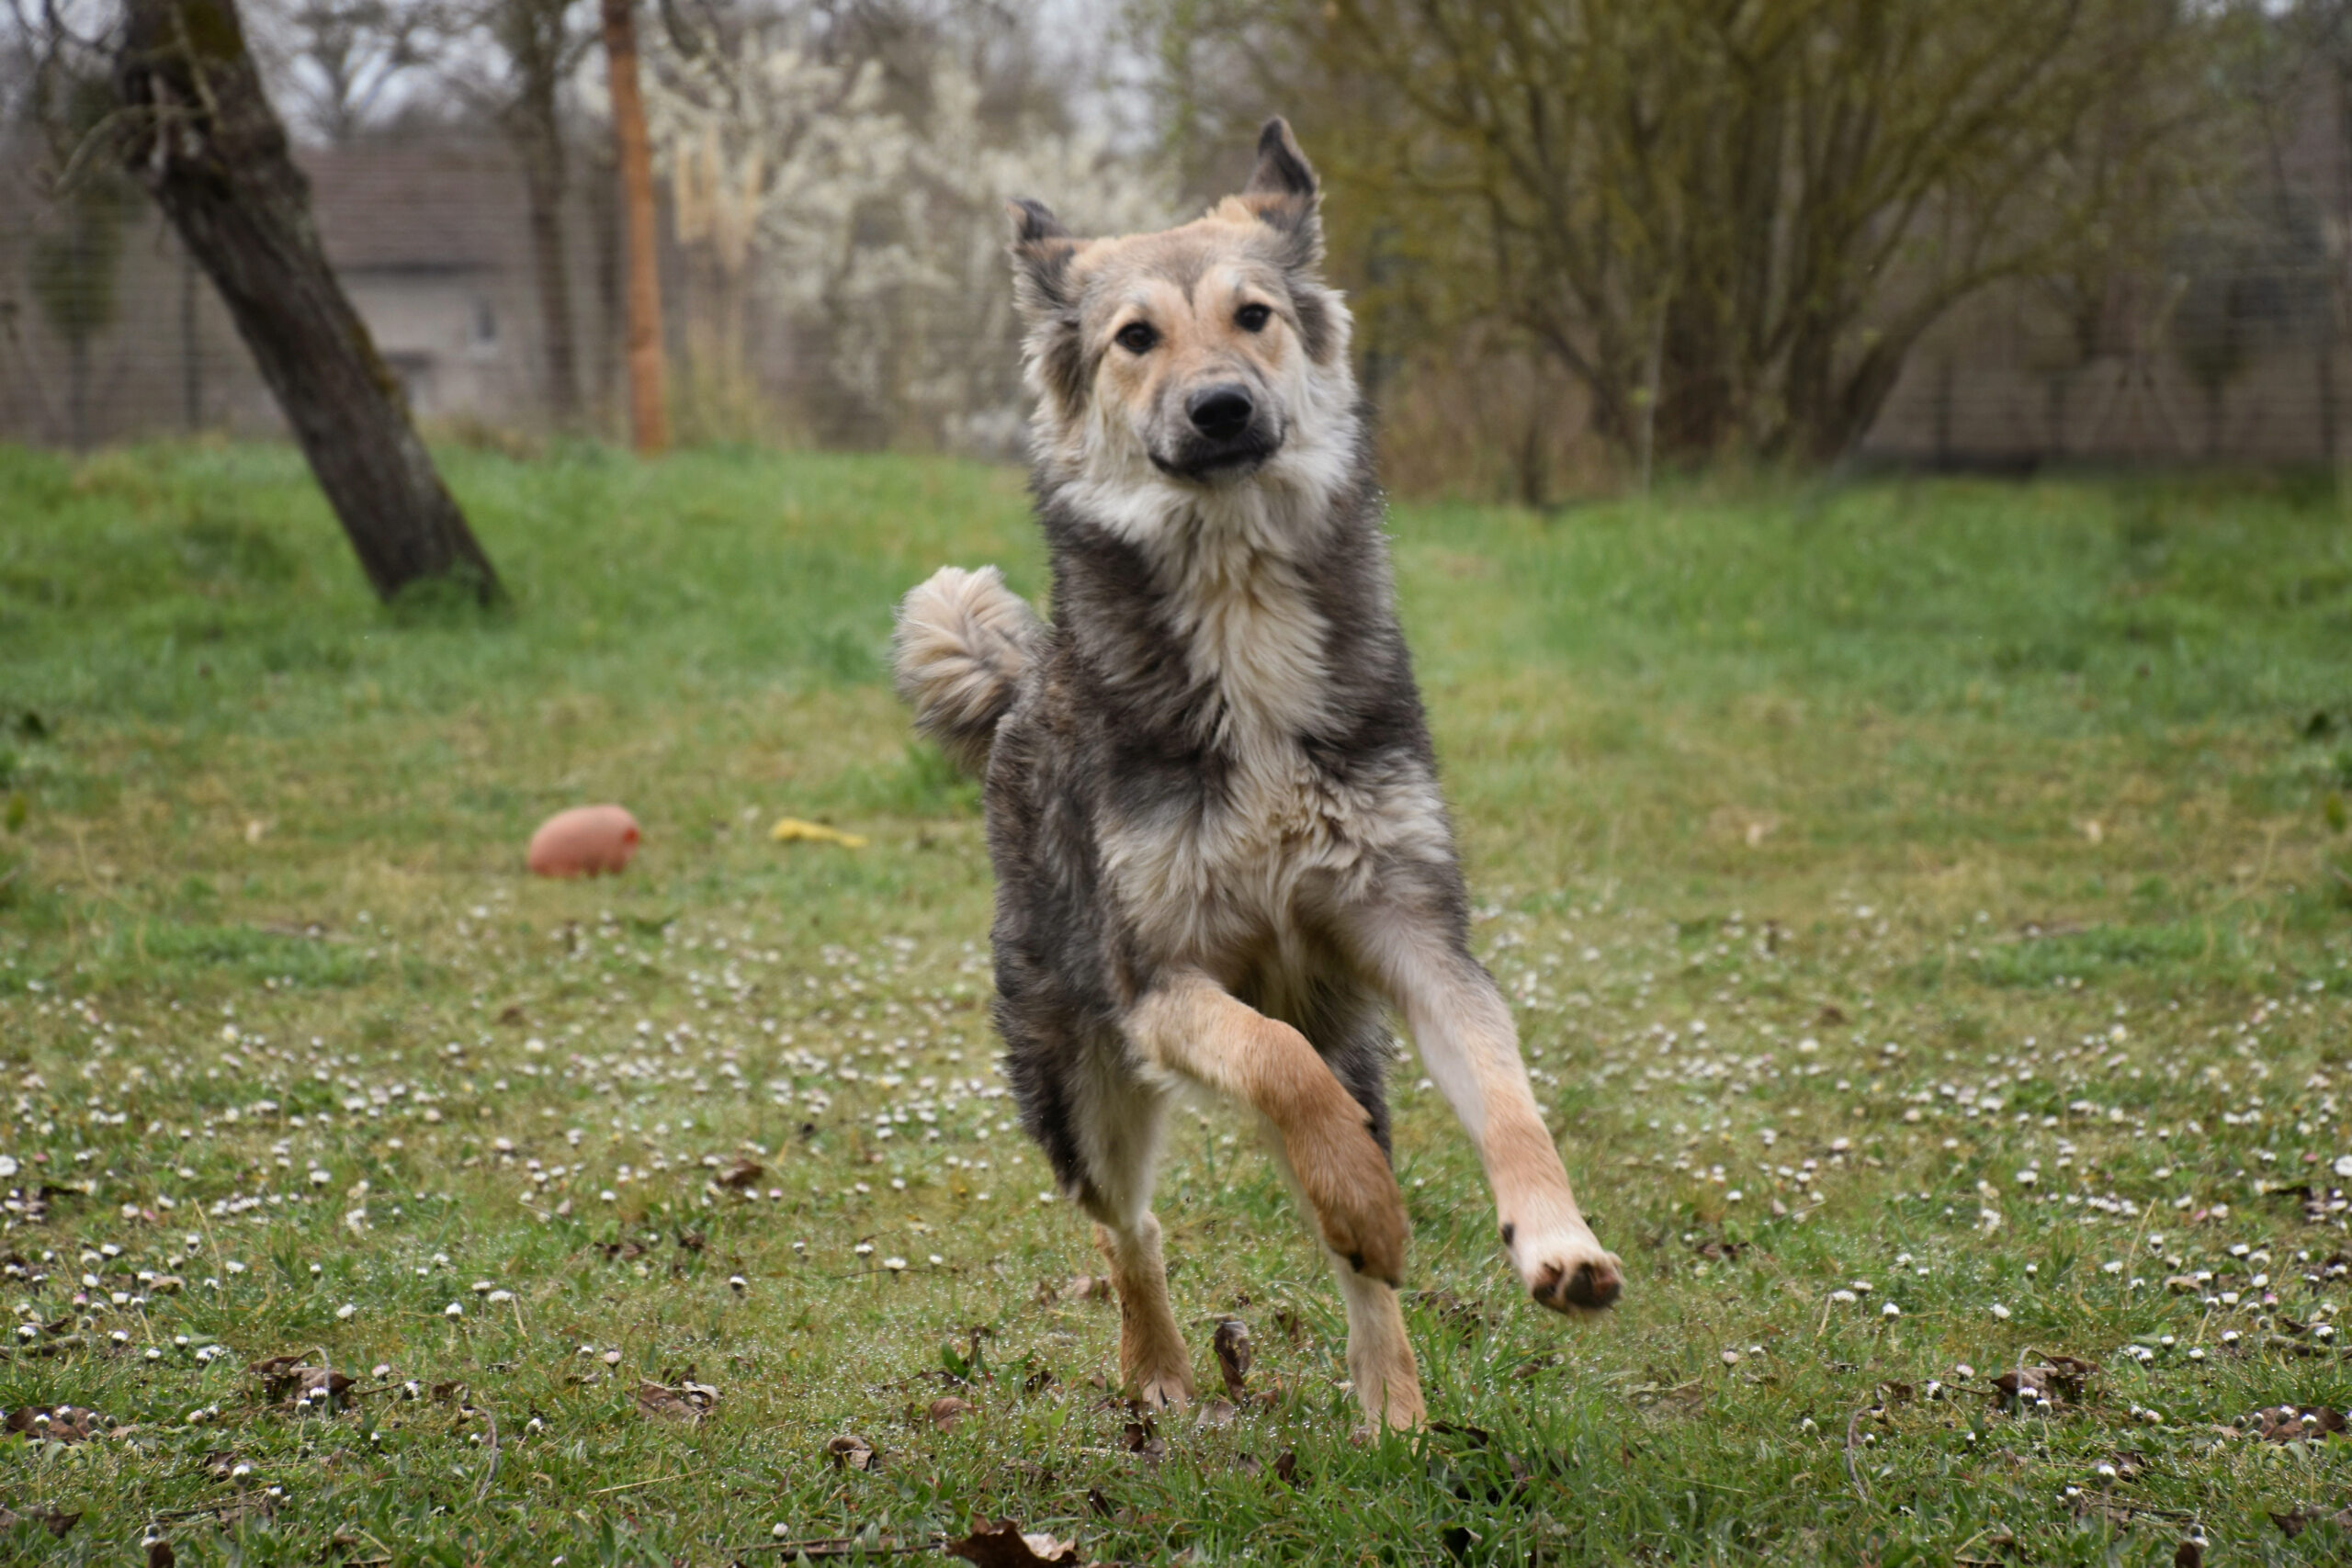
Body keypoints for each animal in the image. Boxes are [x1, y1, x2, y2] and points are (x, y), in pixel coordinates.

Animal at [893, 116, 1618, 1429]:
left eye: (1254, 316)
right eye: (1136, 337)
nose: (1223, 408)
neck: (1238, 610)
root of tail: (1024, 680)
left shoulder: (1412, 932)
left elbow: (1506, 1099)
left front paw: (1554, 1242)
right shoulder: (1157, 981)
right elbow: (1277, 1074)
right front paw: (1372, 1207)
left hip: (1348, 1038)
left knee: (1344, 1229)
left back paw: (1391, 1406)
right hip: (1076, 1078)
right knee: (1130, 1225)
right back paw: (1160, 1368)